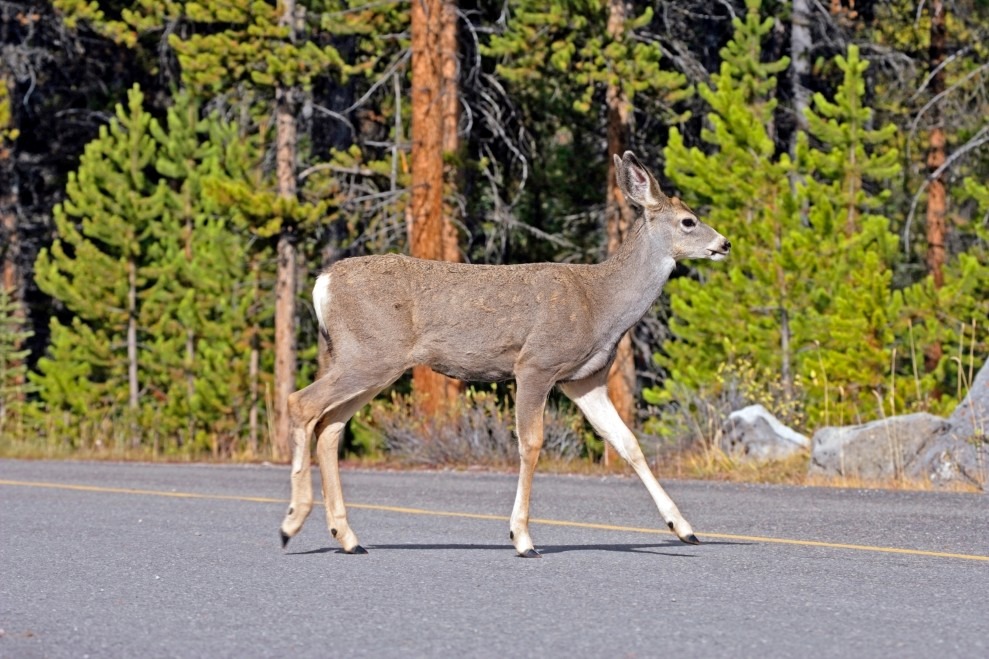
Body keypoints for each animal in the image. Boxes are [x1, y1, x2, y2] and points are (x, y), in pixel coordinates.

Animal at [279, 151, 730, 557]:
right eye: (688, 221)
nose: (724, 243)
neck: (600, 303)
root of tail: (322, 283)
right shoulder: (536, 363)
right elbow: (531, 443)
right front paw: (522, 538)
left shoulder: (584, 380)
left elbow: (627, 442)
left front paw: (683, 528)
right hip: (369, 354)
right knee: (301, 404)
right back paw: (291, 523)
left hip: (371, 361)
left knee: (330, 426)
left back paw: (347, 537)